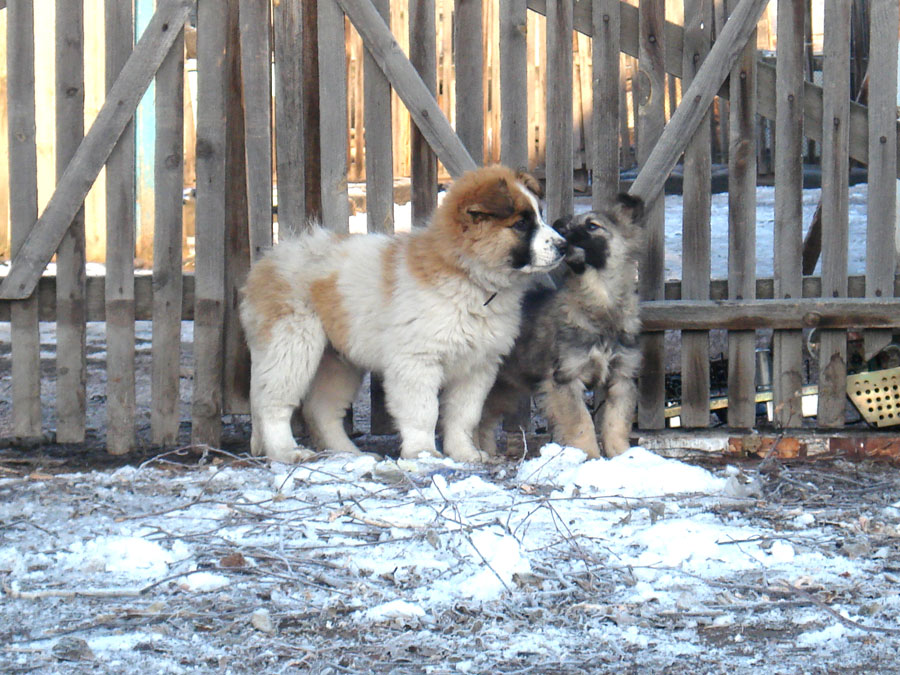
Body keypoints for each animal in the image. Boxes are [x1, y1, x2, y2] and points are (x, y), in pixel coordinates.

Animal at [239, 164, 564, 464]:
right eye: (520, 224)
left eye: (539, 216)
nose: (563, 245)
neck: (468, 277)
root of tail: (266, 263)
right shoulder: (417, 362)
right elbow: (424, 412)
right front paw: (423, 453)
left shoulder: (477, 366)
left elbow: (463, 415)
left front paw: (465, 453)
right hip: (290, 345)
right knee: (273, 403)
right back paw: (286, 451)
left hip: (338, 361)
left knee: (322, 410)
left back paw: (348, 454)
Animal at [482, 194, 644, 460]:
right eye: (566, 226)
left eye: (592, 226)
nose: (560, 231)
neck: (600, 301)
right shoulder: (566, 378)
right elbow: (581, 423)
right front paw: (590, 457)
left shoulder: (622, 378)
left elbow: (616, 423)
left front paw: (623, 456)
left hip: (502, 389)